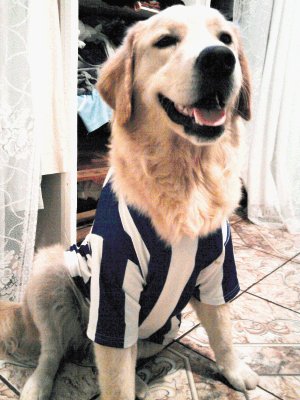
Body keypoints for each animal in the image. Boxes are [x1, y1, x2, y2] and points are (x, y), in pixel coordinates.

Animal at [0, 6, 258, 400]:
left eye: (225, 39)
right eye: (166, 40)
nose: (219, 59)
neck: (186, 176)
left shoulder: (217, 270)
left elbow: (223, 332)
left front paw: (236, 371)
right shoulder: (114, 289)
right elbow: (115, 380)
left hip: (166, 325)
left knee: (117, 356)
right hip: (50, 270)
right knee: (53, 351)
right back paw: (37, 385)